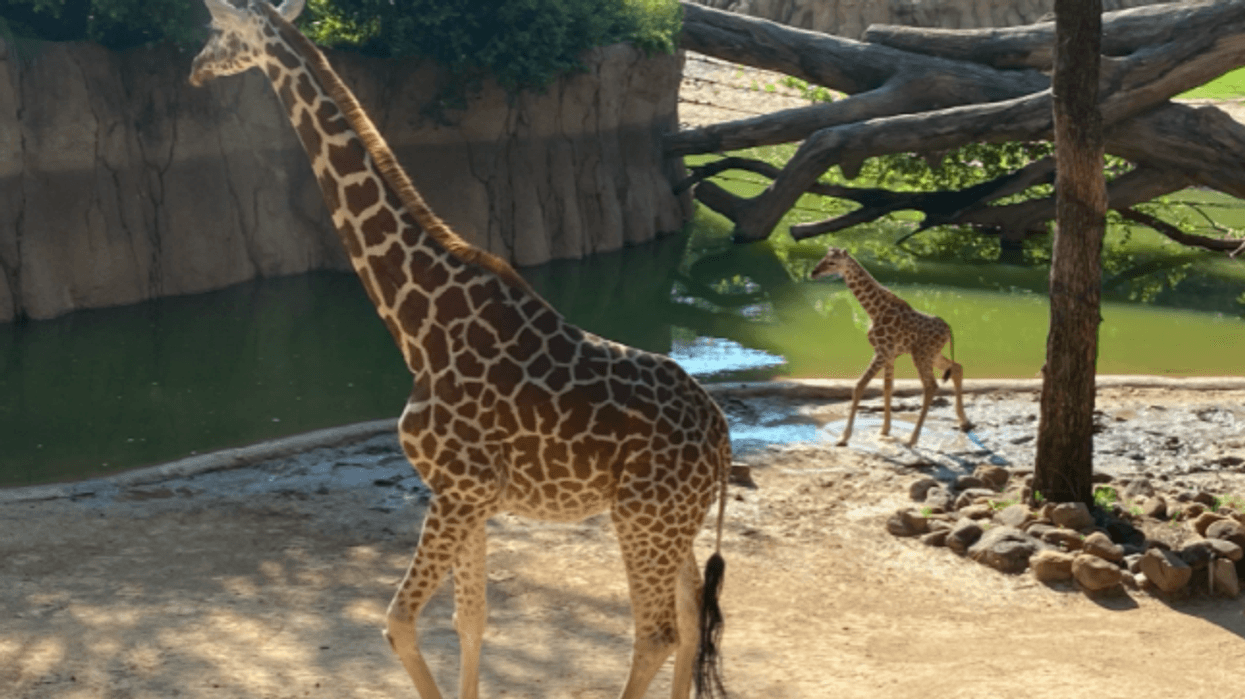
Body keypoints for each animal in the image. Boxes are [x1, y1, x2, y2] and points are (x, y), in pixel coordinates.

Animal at [189, 2, 731, 698]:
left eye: (217, 30)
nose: (195, 69)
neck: (419, 327)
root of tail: (721, 436)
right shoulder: (473, 498)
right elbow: (470, 619)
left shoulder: (457, 488)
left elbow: (398, 623)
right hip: (674, 521)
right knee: (692, 620)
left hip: (643, 518)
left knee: (656, 632)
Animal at [810, 247, 971, 447]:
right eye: (823, 258)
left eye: (832, 263)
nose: (813, 272)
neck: (874, 310)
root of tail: (948, 329)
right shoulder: (890, 354)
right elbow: (887, 387)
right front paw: (884, 430)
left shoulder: (882, 351)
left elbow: (859, 386)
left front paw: (844, 437)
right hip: (931, 354)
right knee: (956, 367)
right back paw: (964, 422)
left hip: (921, 355)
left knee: (931, 386)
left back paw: (912, 439)